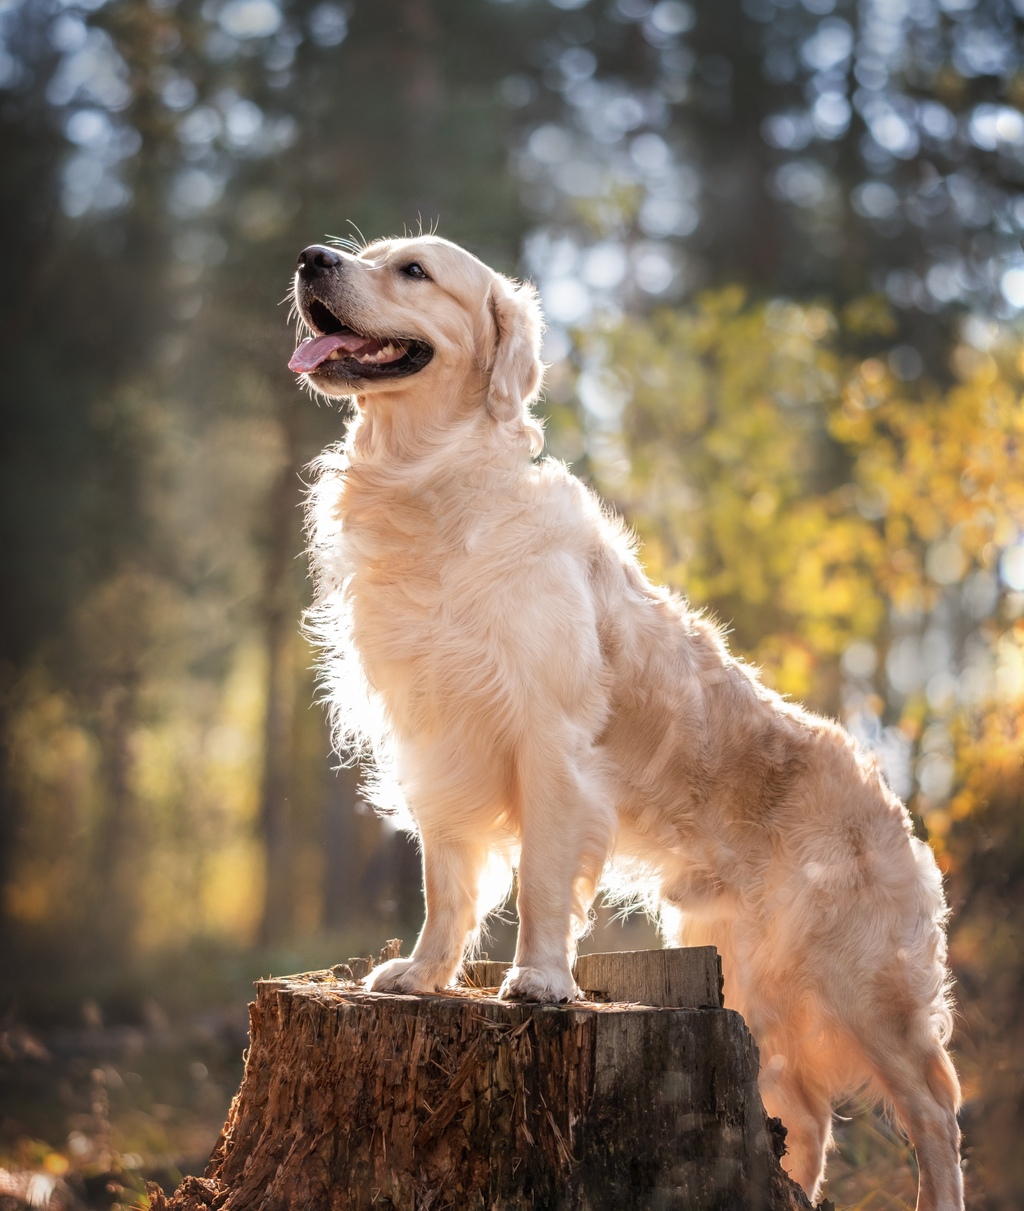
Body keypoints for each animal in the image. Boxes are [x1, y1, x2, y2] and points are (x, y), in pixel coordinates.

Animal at [292, 236, 968, 1211]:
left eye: (413, 271)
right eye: (364, 253)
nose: (312, 258)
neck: (434, 484)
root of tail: (892, 798)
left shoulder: (548, 737)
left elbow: (540, 879)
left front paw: (539, 981)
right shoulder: (437, 743)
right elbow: (446, 884)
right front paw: (421, 977)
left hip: (865, 983)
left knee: (933, 1113)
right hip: (748, 981)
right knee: (801, 1119)